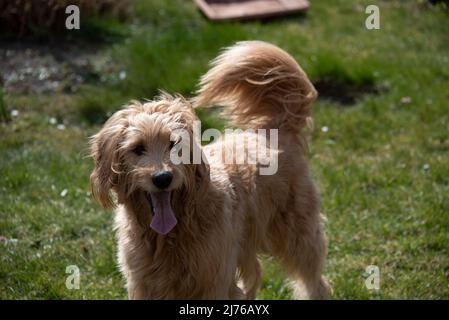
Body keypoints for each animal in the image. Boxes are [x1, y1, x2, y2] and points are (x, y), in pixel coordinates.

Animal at [89, 41, 330, 298]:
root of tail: (274, 129)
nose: (163, 178)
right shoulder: (144, 284)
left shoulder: (213, 281)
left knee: (316, 283)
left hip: (299, 238)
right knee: (254, 273)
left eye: (174, 144)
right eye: (138, 148)